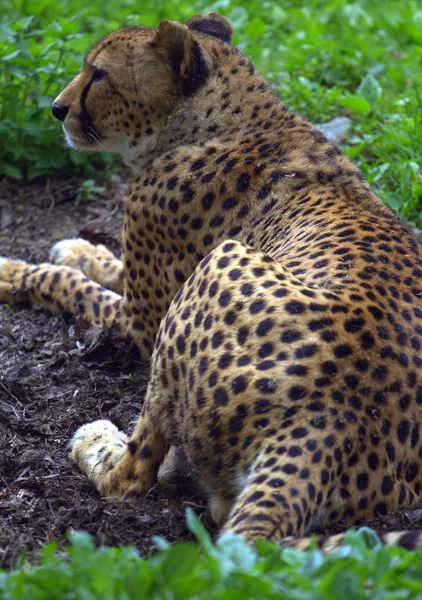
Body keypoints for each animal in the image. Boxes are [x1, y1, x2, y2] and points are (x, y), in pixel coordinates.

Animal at [0, 12, 422, 548]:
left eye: (98, 74)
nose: (57, 108)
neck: (222, 120)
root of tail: (341, 420)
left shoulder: (140, 321)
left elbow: (67, 284)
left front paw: (12, 270)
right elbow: (104, 265)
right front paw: (79, 248)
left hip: (214, 269)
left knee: (134, 476)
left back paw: (96, 441)